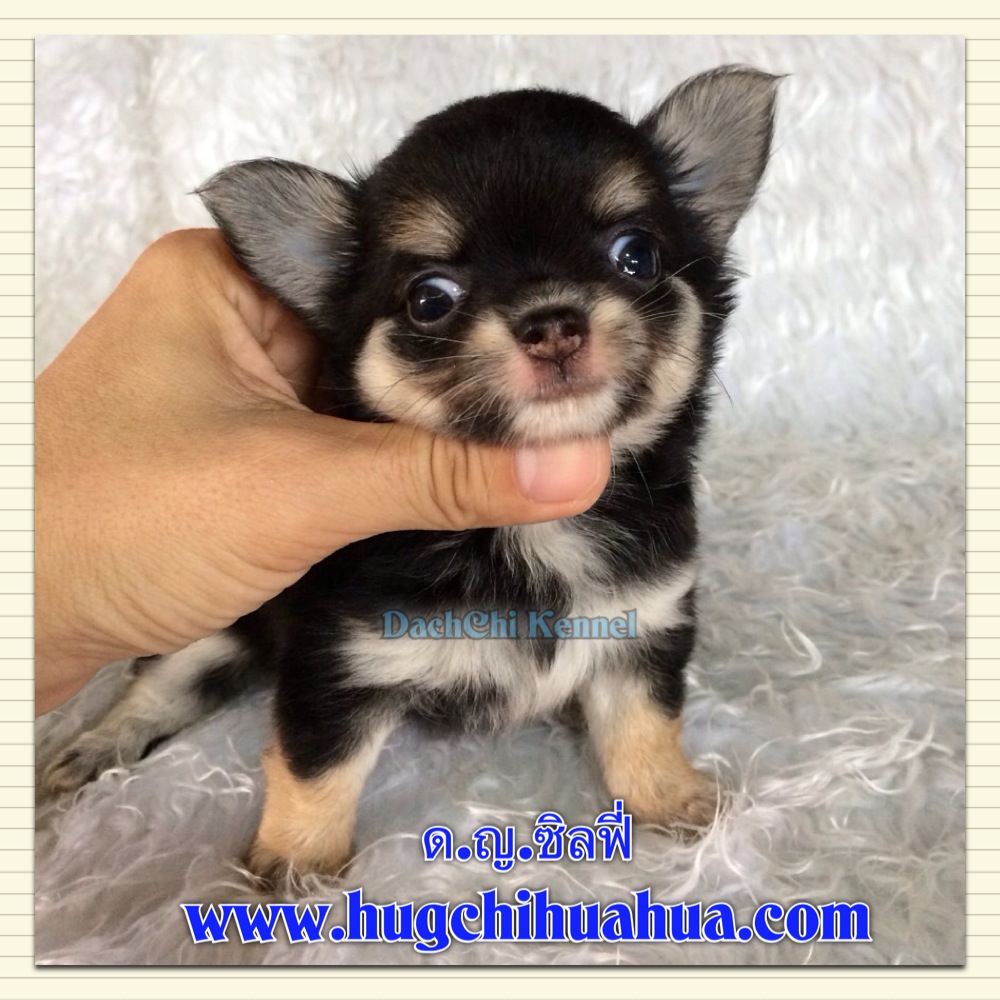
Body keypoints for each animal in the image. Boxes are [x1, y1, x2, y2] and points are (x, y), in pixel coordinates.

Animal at [43, 67, 779, 880]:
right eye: (430, 299)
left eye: (636, 255)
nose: (552, 321)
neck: (536, 534)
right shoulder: (338, 666)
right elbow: (316, 768)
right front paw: (298, 865)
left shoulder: (642, 629)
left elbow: (644, 723)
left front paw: (670, 802)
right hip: (214, 622)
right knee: (158, 683)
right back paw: (92, 748)